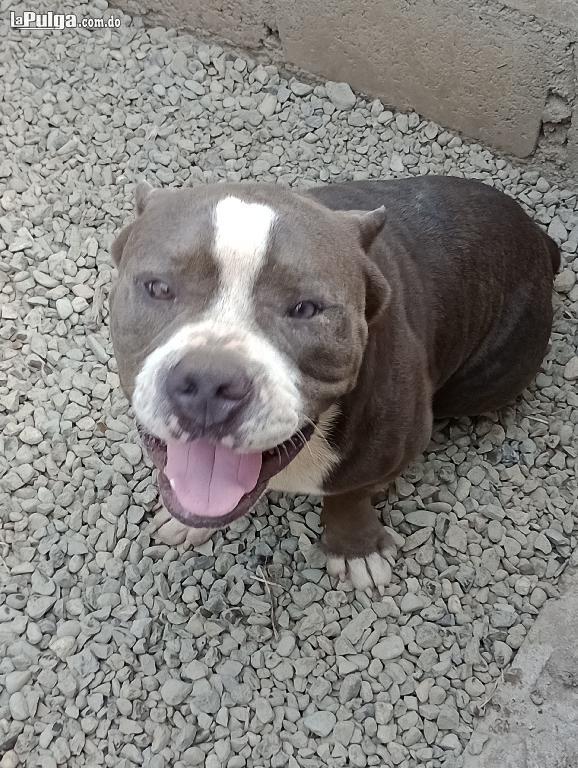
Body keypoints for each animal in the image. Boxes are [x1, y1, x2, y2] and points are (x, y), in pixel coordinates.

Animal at [109, 176, 559, 593]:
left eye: (306, 309)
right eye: (158, 288)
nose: (208, 380)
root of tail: (537, 234)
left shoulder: (389, 448)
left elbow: (349, 495)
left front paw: (356, 548)